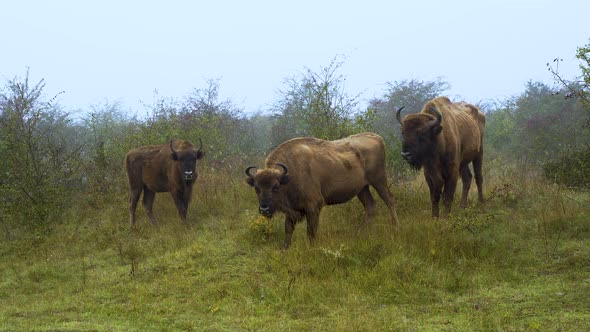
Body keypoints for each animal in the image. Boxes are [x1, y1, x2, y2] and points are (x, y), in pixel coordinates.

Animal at [245, 132, 402, 249]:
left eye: (276, 186)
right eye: (256, 188)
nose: (264, 209)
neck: (289, 176)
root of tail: (376, 137)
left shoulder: (313, 207)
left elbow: (311, 232)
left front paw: (311, 248)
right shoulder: (292, 211)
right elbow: (288, 229)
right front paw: (285, 248)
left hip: (379, 181)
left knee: (389, 200)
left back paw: (395, 226)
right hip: (362, 188)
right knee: (370, 206)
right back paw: (360, 232)